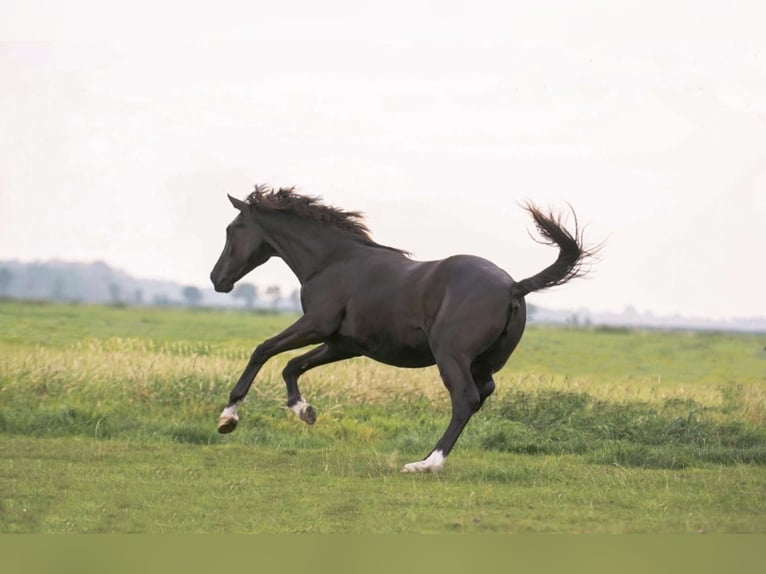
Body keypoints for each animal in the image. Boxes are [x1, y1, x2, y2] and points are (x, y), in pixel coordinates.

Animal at [213, 184, 596, 472]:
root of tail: (514, 287)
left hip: (450, 355)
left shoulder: (316, 325)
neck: (333, 262)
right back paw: (427, 457)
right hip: (483, 363)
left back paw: (426, 464)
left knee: (465, 398)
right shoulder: (343, 344)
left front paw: (228, 418)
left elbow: (263, 350)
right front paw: (304, 411)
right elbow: (293, 366)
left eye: (231, 230)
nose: (217, 279)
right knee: (482, 394)